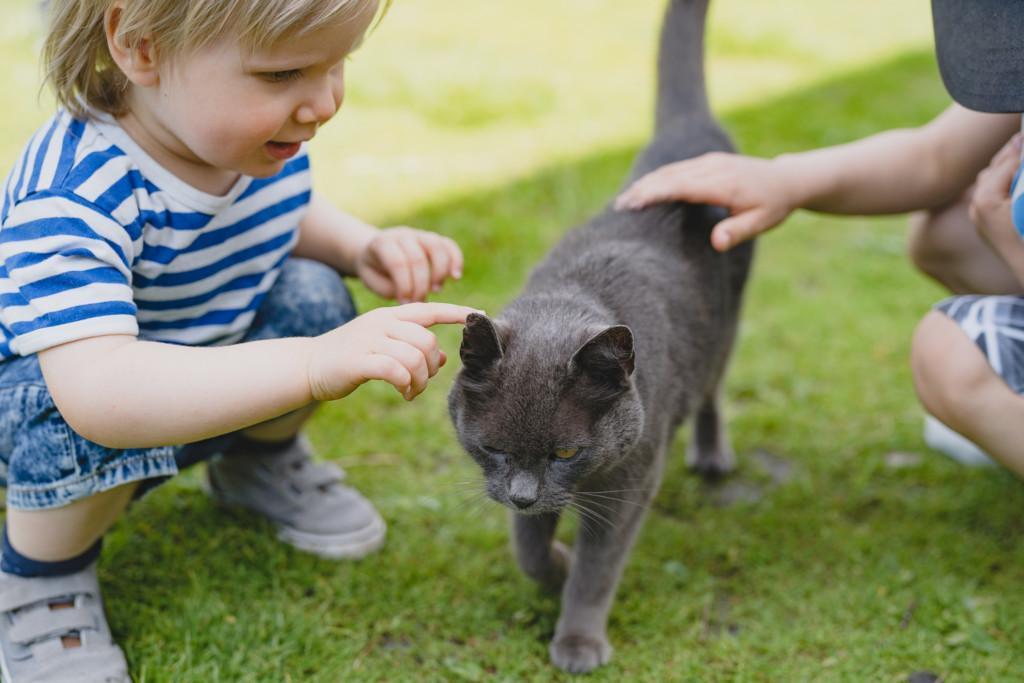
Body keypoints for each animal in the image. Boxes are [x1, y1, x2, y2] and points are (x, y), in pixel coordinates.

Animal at [448, 0, 753, 671]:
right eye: (495, 448)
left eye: (567, 453)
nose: (525, 494)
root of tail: (686, 136)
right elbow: (527, 549)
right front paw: (553, 565)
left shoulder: (629, 483)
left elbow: (598, 570)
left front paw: (578, 640)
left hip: (725, 325)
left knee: (713, 385)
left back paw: (712, 455)